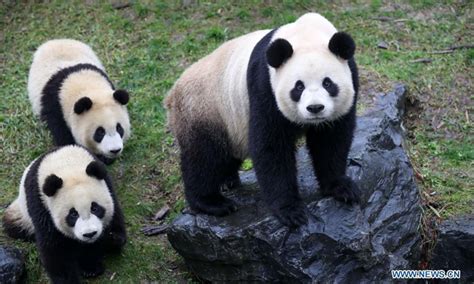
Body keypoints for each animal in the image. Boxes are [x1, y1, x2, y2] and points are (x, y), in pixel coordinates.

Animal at [3, 145, 126, 282]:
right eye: (73, 214)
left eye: (94, 208)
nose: (89, 234)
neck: (67, 165)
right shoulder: (41, 204)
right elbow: (55, 249)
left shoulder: (108, 186)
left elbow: (113, 219)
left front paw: (91, 267)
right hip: (22, 214)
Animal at [165, 13, 362, 227]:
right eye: (298, 87)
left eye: (327, 83)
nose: (315, 108)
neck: (307, 34)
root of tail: (172, 93)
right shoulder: (264, 85)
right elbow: (271, 145)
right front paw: (290, 210)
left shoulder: (351, 75)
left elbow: (331, 140)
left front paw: (341, 188)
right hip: (204, 109)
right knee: (203, 157)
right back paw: (212, 202)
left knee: (224, 156)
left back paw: (227, 180)